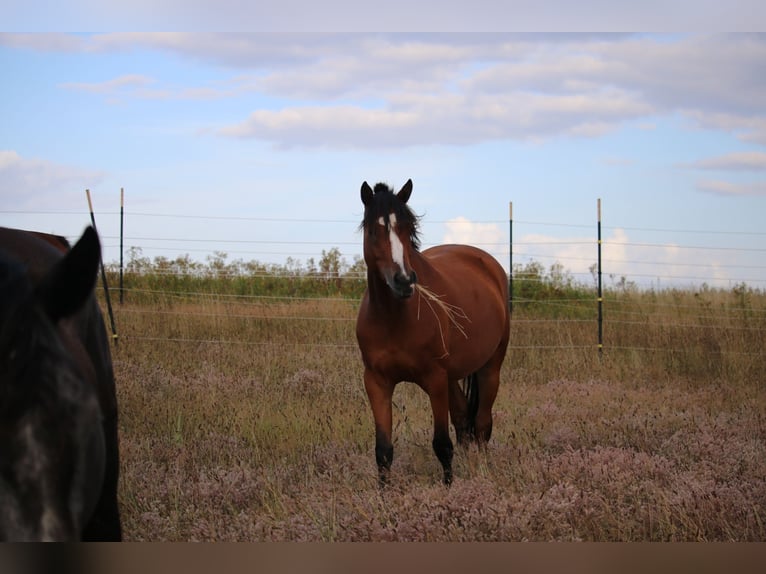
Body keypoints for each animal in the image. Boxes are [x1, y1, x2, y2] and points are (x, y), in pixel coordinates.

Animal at [356, 180, 512, 486]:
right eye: (372, 231)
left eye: (408, 229)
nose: (404, 281)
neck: (394, 319)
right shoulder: (377, 382)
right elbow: (383, 451)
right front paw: (383, 496)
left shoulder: (435, 379)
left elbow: (442, 445)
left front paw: (450, 490)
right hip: (452, 377)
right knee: (464, 422)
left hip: (490, 368)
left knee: (481, 426)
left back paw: (483, 474)